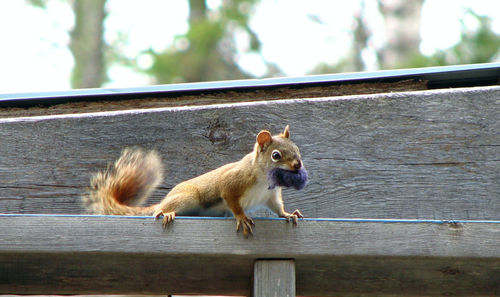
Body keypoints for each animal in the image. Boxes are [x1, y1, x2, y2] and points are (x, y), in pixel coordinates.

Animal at [82, 125, 306, 236]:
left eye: (297, 149)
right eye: (276, 155)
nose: (298, 165)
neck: (263, 179)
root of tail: (165, 199)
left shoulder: (271, 195)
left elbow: (277, 208)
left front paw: (288, 214)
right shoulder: (233, 183)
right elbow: (232, 201)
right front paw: (242, 217)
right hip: (188, 198)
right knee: (159, 210)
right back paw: (167, 212)